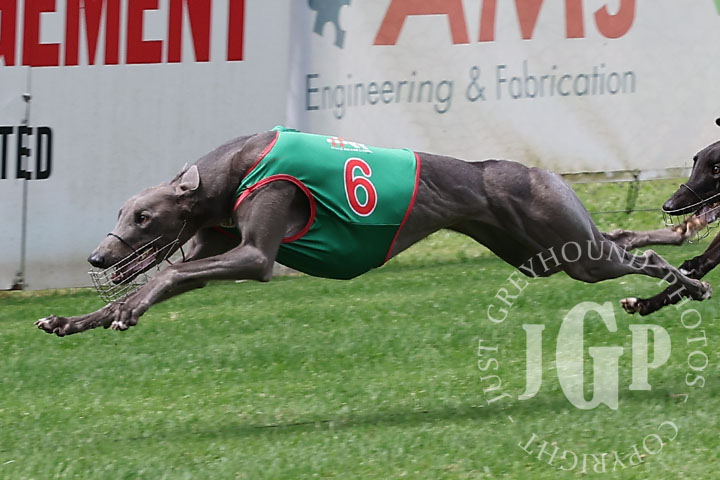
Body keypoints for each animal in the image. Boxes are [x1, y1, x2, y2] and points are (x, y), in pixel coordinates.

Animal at [35, 126, 711, 336]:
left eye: (142, 216)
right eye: (120, 213)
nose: (96, 258)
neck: (234, 168)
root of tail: (535, 168)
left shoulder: (254, 250)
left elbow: (169, 273)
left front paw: (127, 309)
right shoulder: (214, 240)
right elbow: (166, 279)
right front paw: (72, 319)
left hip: (564, 244)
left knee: (633, 255)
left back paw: (686, 279)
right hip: (543, 251)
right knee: (622, 237)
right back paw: (681, 245)